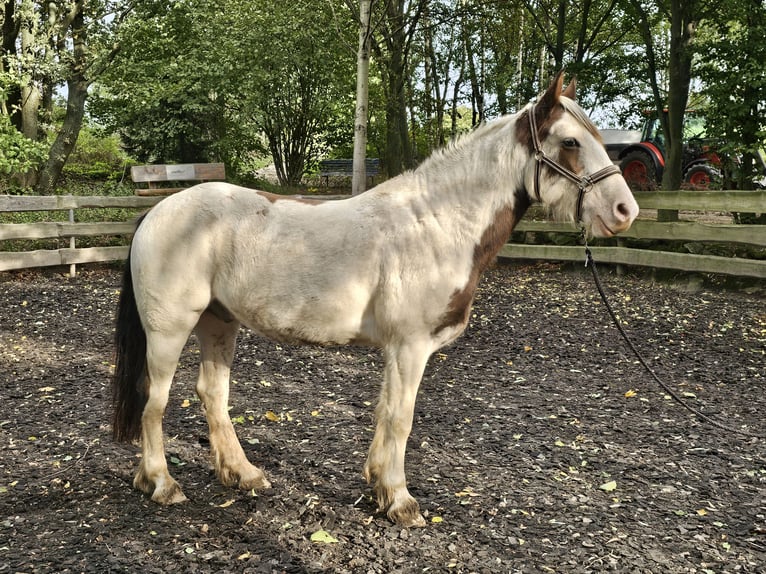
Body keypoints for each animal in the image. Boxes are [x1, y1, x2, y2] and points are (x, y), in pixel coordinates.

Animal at [112, 73, 640, 532]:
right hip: (170, 330)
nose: (625, 211)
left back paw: (243, 475)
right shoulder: (410, 347)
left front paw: (379, 487)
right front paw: (401, 501)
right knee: (154, 400)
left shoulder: (398, 351)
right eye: (570, 142)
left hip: (219, 322)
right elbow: (401, 418)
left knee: (212, 394)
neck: (437, 223)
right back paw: (160, 483)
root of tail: (157, 211)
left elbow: (386, 412)